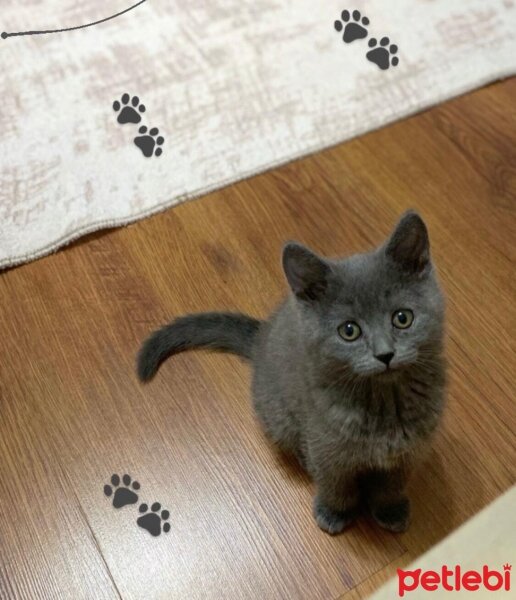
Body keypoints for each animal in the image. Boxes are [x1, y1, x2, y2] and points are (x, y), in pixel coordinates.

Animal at [137, 211, 444, 536]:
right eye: (349, 331)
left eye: (403, 318)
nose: (385, 354)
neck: (384, 402)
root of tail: (261, 338)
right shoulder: (325, 446)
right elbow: (335, 485)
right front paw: (334, 512)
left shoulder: (410, 449)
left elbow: (392, 484)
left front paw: (390, 509)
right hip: (279, 417)